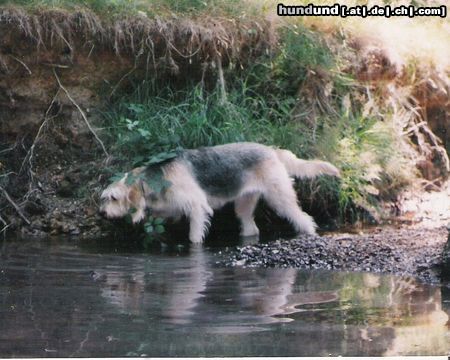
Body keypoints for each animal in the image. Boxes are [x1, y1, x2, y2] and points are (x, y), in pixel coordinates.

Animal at [98, 142, 338, 243]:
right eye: (103, 198)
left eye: (114, 198)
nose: (101, 214)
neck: (156, 179)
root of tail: (273, 150)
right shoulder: (169, 211)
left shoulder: (197, 207)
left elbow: (194, 236)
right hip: (244, 204)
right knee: (251, 227)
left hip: (280, 198)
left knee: (303, 217)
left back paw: (309, 232)